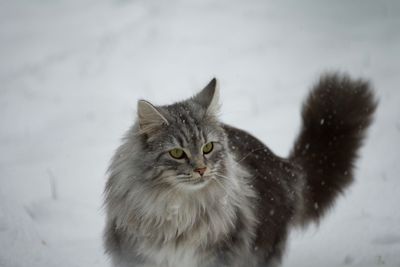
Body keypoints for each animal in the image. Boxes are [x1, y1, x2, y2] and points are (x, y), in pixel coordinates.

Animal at [102, 73, 376, 267]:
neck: (178, 211)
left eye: (208, 148)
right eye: (177, 153)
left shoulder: (218, 255)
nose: (201, 170)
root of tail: (285, 166)